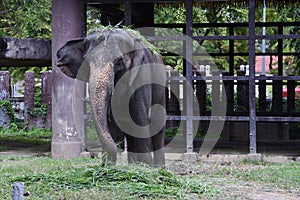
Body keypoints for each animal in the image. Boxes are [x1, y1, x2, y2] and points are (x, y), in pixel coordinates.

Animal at [55, 27, 165, 166]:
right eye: (86, 62)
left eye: (119, 61)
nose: (93, 155)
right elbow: (110, 122)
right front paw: (109, 167)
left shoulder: (141, 76)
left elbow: (139, 119)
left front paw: (145, 167)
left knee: (157, 124)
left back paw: (158, 167)